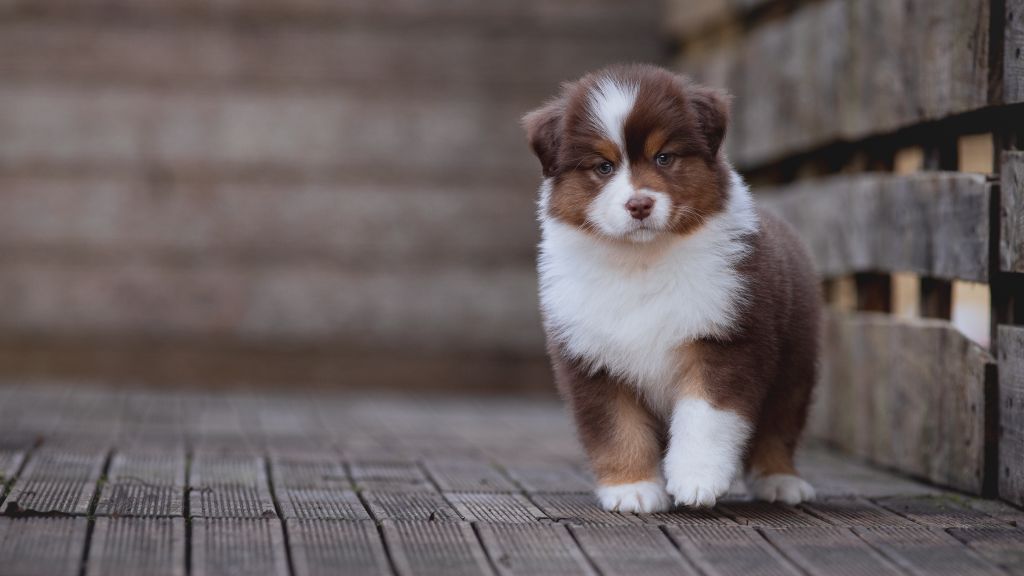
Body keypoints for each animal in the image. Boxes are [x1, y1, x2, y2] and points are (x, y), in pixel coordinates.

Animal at [524, 63, 819, 510]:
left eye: (664, 157)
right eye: (603, 167)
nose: (639, 204)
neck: (642, 261)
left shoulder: (726, 338)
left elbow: (706, 417)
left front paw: (697, 480)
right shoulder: (591, 357)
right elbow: (616, 428)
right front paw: (631, 489)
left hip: (794, 363)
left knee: (779, 425)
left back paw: (781, 481)